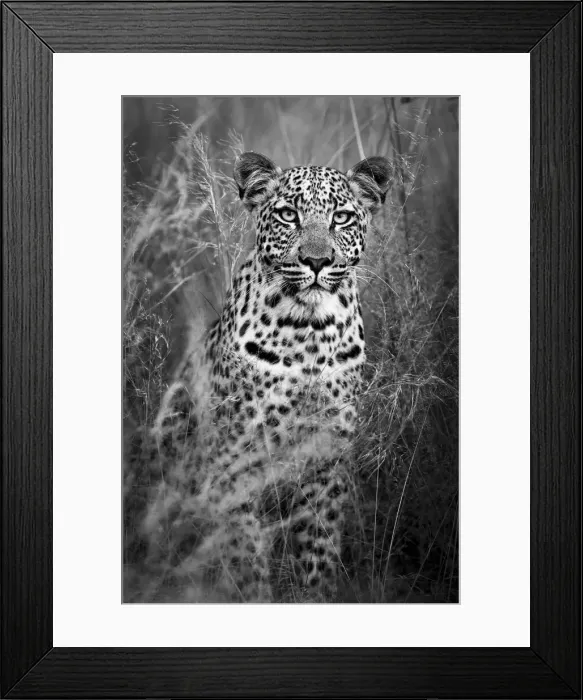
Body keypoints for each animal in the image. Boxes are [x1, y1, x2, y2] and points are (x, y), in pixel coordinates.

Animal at [130, 152, 394, 603]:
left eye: (341, 218)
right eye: (288, 215)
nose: (317, 261)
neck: (309, 333)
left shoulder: (326, 458)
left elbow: (319, 549)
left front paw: (315, 595)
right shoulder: (235, 457)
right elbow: (245, 552)